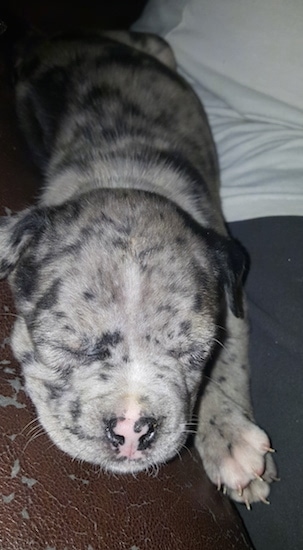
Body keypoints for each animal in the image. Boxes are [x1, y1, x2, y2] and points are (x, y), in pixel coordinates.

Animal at [0, 29, 278, 504]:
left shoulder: (233, 307)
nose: (133, 429)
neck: (124, 175)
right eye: (65, 346)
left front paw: (231, 439)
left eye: (192, 351)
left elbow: (228, 366)